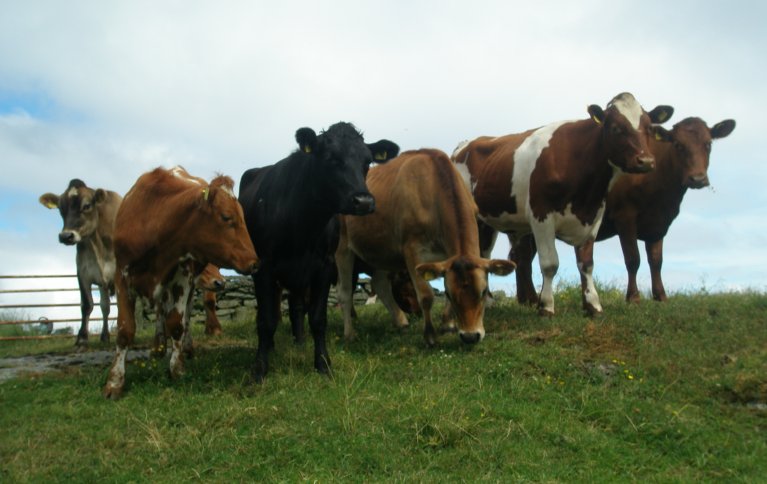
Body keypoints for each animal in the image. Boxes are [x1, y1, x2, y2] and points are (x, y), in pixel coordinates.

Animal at [39, 180, 122, 346]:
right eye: (60, 208)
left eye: (87, 205)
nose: (66, 236)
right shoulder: (83, 274)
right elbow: (87, 304)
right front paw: (82, 338)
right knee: (105, 306)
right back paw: (105, 336)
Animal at [102, 166, 260, 400]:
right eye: (226, 217)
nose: (254, 262)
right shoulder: (122, 276)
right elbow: (125, 330)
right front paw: (115, 382)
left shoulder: (182, 277)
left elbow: (177, 323)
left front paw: (177, 369)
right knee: (160, 312)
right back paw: (158, 347)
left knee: (183, 316)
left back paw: (186, 347)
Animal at [240, 121, 400, 382]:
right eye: (330, 158)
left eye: (367, 162)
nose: (364, 201)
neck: (303, 223)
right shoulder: (264, 266)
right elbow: (266, 319)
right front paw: (259, 369)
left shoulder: (323, 266)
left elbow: (318, 318)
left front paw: (323, 364)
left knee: (296, 307)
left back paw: (299, 342)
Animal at [336, 149, 516, 346]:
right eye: (450, 294)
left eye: (483, 292)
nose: (470, 336)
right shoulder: (412, 251)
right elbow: (426, 295)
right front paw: (430, 336)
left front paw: (448, 325)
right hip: (342, 248)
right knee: (345, 292)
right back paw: (349, 334)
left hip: (380, 251)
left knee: (380, 283)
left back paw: (401, 322)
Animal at [452, 92, 676, 316]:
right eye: (615, 128)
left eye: (649, 127)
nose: (646, 161)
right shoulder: (541, 215)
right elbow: (550, 263)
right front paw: (546, 306)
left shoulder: (593, 216)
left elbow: (586, 264)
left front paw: (593, 305)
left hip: (487, 221)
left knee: (484, 253)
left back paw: (488, 300)